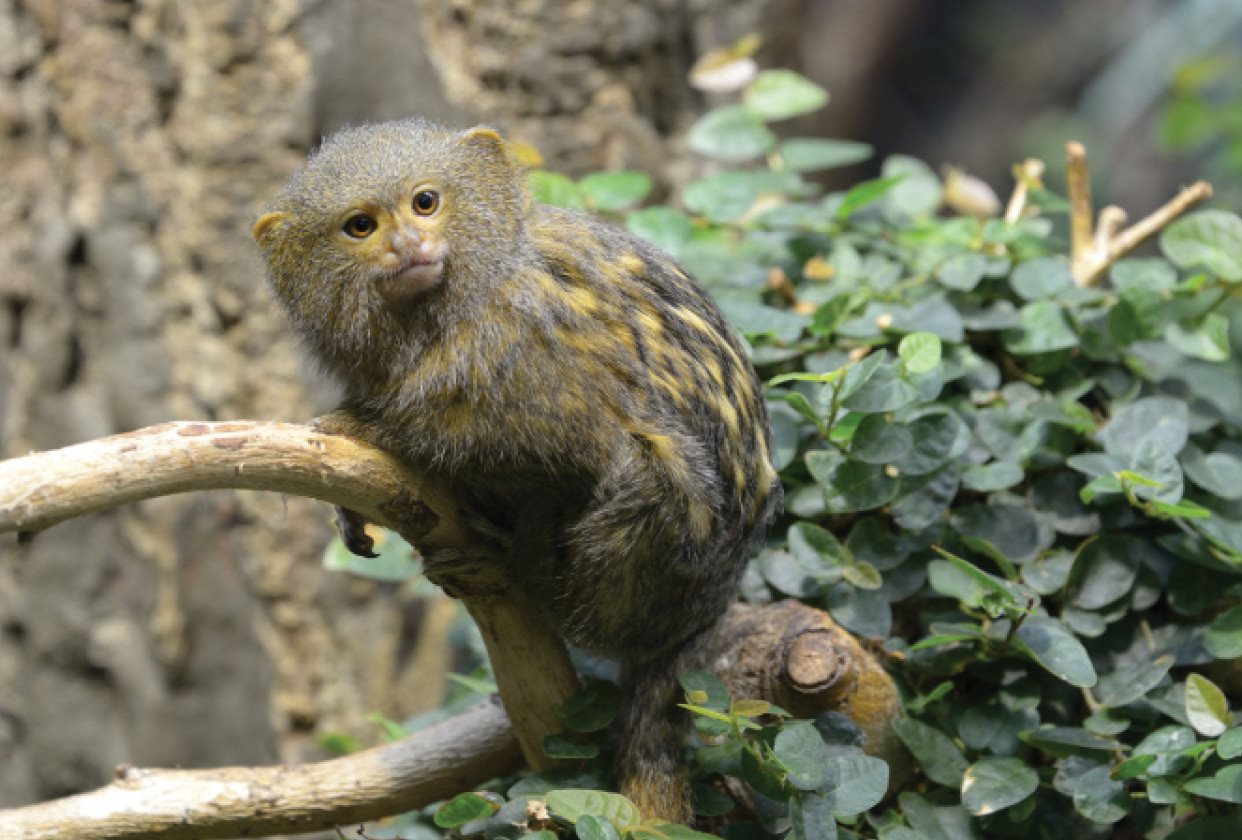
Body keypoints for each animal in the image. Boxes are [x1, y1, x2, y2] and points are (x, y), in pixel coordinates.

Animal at [249, 118, 775, 820]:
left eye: (425, 202)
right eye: (360, 226)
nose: (408, 244)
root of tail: (694, 626)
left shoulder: (525, 340)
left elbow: (555, 444)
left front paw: (358, 429)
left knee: (650, 471)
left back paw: (525, 576)